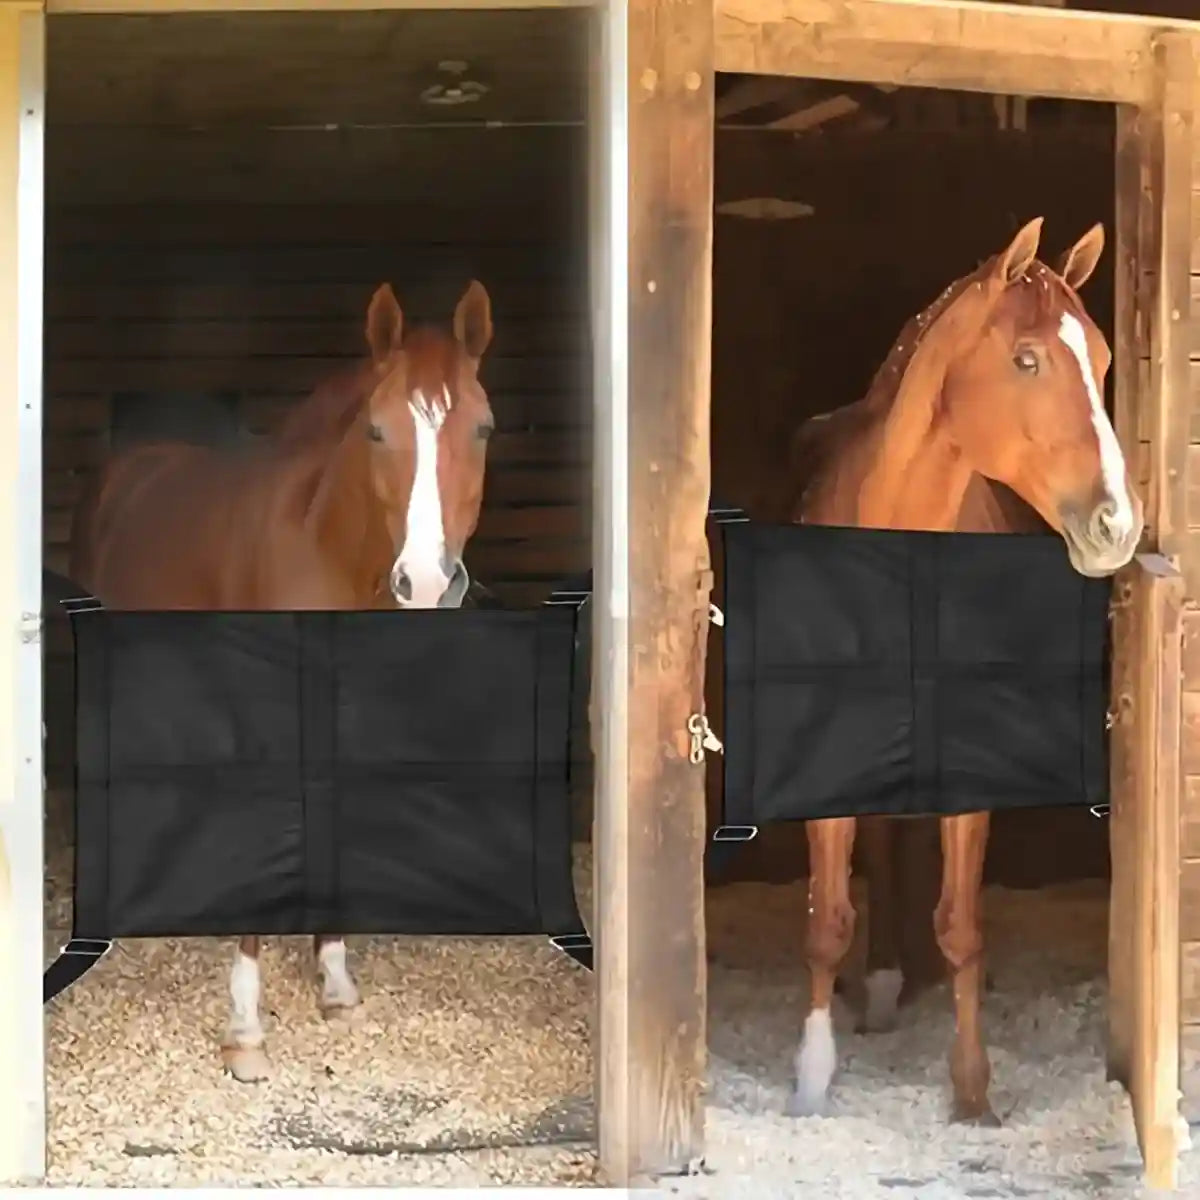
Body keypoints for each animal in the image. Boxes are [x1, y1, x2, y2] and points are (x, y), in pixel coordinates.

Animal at [68, 278, 498, 1082]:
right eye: (376, 432)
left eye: (482, 428)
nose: (427, 582)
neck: (325, 551)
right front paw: (245, 1029)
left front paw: (334, 979)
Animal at [773, 217, 1142, 1125]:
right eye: (1026, 359)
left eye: (1105, 358)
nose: (1117, 523)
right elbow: (824, 921)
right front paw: (810, 1078)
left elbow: (962, 926)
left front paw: (972, 1086)